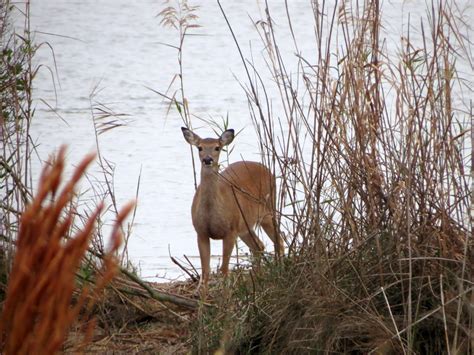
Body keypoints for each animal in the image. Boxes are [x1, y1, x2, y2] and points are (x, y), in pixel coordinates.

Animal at [181, 126, 284, 296]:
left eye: (217, 147)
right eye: (199, 147)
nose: (207, 159)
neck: (211, 213)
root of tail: (267, 169)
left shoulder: (230, 231)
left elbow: (224, 269)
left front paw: (226, 299)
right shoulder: (201, 232)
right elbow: (206, 271)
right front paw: (202, 300)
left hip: (268, 211)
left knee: (279, 241)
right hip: (245, 226)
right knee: (259, 246)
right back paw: (257, 281)